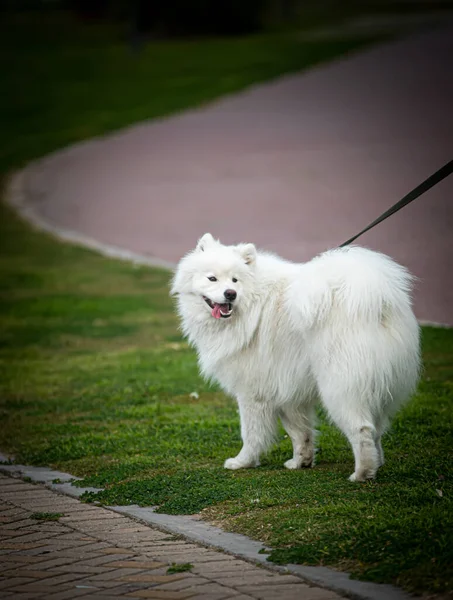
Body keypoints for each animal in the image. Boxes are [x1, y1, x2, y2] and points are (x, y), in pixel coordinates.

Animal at [170, 234, 420, 482]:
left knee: (363, 429)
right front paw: (301, 462)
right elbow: (300, 432)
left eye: (234, 280)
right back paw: (377, 463)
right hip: (378, 388)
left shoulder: (252, 391)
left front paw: (243, 462)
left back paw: (362, 473)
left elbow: (251, 433)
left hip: (340, 388)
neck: (252, 302)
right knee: (377, 430)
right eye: (212, 278)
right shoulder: (287, 388)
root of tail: (377, 303)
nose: (230, 294)